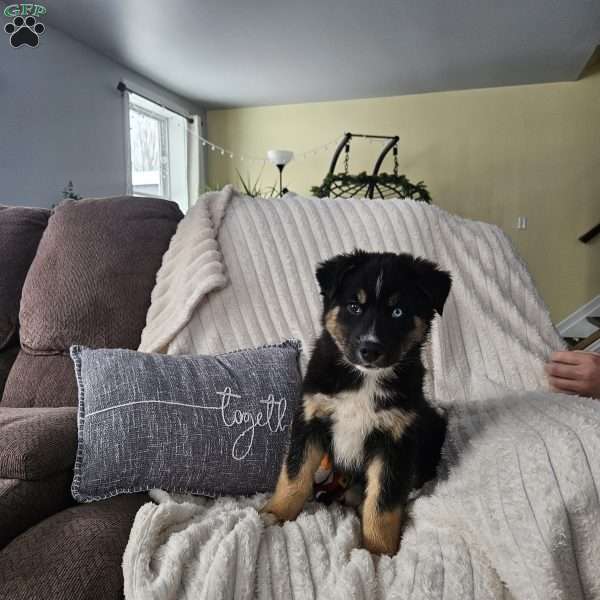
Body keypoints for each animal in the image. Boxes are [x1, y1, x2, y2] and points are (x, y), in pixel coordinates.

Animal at [262, 251, 450, 556]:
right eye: (354, 307)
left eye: (398, 312)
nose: (370, 350)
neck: (364, 379)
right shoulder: (311, 417)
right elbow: (295, 474)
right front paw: (276, 513)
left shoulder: (395, 439)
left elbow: (382, 502)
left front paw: (379, 550)